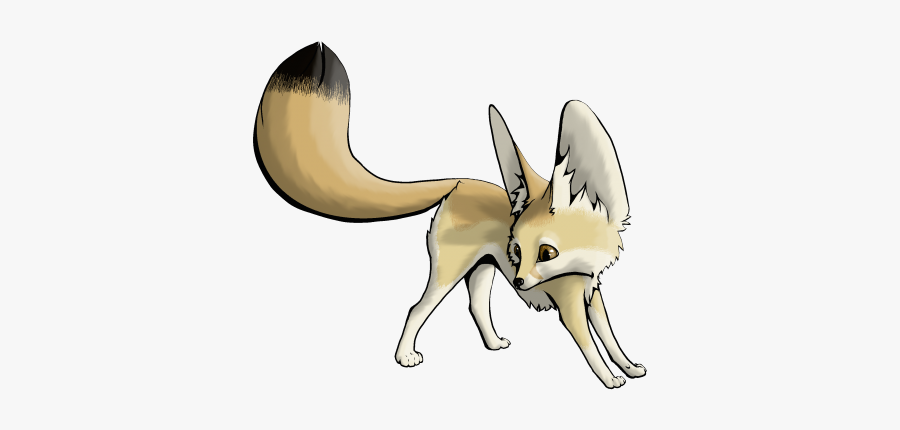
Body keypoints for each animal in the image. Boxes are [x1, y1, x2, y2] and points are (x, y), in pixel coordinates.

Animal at [253, 42, 646, 388]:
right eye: (518, 251)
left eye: (546, 253)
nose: (520, 282)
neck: (581, 272)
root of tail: (457, 182)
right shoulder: (571, 308)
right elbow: (593, 349)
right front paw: (610, 380)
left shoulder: (592, 297)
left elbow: (612, 340)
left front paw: (630, 367)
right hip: (449, 273)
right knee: (416, 308)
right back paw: (405, 357)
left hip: (481, 270)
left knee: (476, 307)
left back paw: (493, 344)